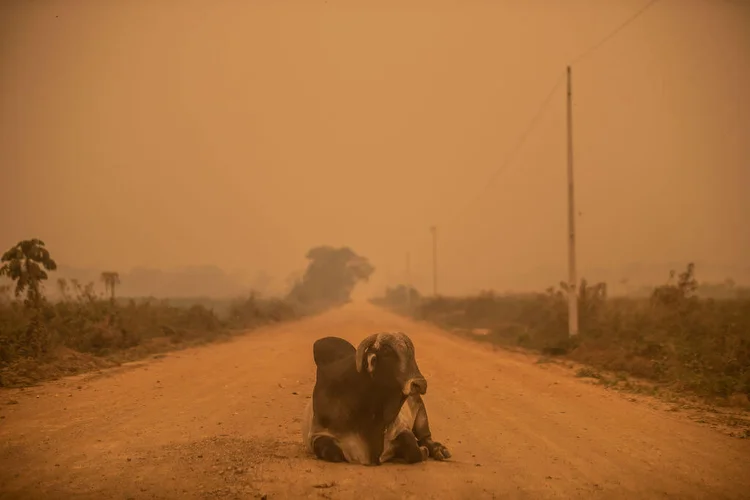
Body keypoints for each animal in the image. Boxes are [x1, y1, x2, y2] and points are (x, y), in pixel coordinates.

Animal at [300, 332, 452, 464]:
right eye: (387, 353)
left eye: (412, 354)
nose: (419, 384)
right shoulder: (317, 435)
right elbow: (332, 452)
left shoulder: (401, 427)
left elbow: (412, 449)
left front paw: (423, 451)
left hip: (420, 411)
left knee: (425, 437)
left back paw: (439, 450)